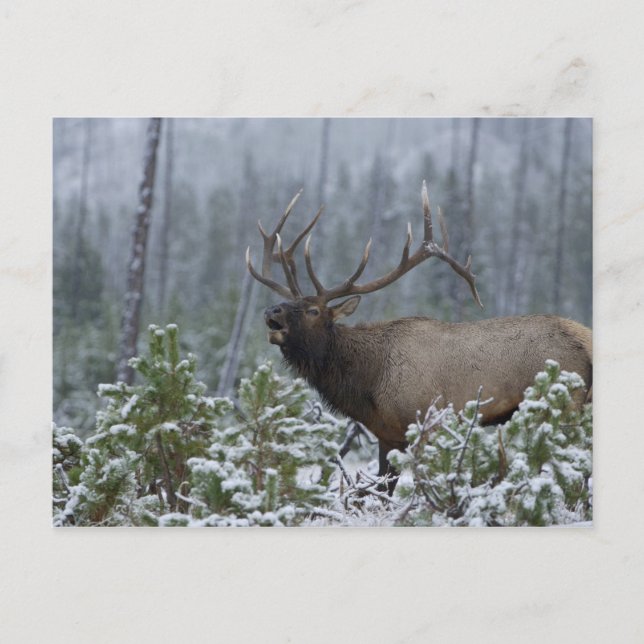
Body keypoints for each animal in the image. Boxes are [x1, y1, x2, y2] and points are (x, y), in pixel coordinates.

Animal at [246, 182, 592, 494]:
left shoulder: (426, 422)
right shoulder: (386, 434)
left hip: (565, 406)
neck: (368, 382)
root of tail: (586, 339)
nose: (270, 311)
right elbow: (384, 488)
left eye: (313, 310)